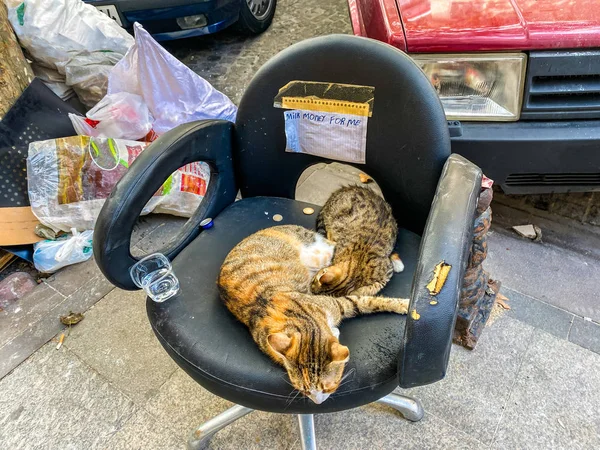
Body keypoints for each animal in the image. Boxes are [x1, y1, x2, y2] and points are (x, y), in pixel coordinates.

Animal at [218, 225, 410, 404]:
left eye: (327, 387)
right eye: (303, 390)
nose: (317, 402)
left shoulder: (338, 303)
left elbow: (367, 302)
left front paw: (406, 305)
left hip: (322, 254)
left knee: (342, 252)